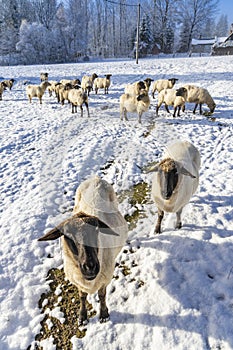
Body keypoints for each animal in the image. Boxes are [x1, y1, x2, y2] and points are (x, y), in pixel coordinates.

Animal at [39, 176, 128, 324]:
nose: (90, 267)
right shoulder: (78, 282)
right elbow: (82, 296)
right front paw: (82, 316)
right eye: (67, 235)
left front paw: (104, 314)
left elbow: (102, 295)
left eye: (97, 230)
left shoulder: (105, 280)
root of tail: (96, 178)